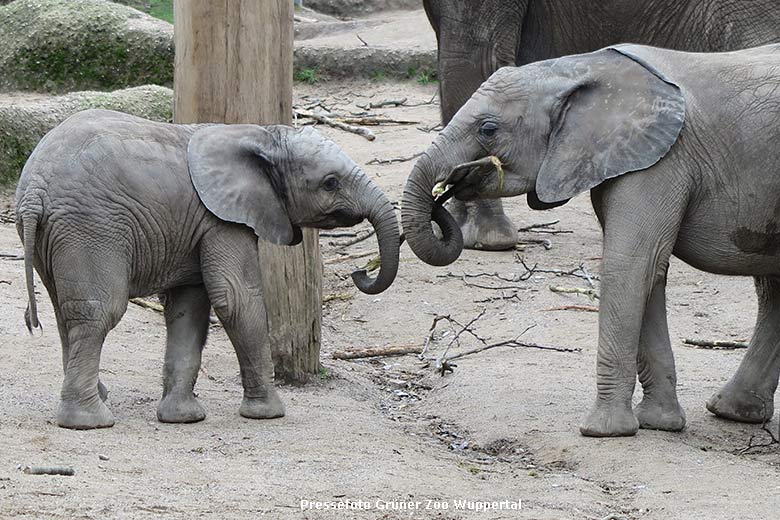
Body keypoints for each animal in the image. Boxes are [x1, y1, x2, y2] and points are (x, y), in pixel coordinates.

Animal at [15, 109, 400, 430]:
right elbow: (235, 298)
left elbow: (189, 308)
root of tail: (34, 189)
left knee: (67, 314)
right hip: (92, 227)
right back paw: (89, 422)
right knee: (100, 311)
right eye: (330, 182)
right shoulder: (222, 220)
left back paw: (99, 399)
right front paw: (270, 413)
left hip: (54, 235)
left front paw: (183, 418)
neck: (260, 134)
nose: (360, 273)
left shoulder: (199, 225)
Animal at [402, 43, 780, 434]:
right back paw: (733, 412)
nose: (449, 185)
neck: (580, 67)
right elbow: (649, 273)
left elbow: (628, 266)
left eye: (488, 129)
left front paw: (603, 432)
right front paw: (658, 424)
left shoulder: (664, 160)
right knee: (772, 291)